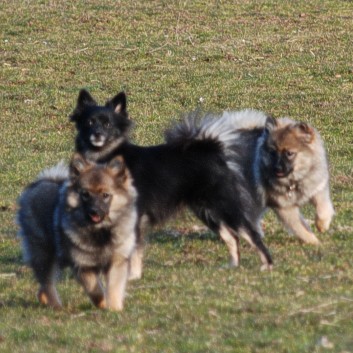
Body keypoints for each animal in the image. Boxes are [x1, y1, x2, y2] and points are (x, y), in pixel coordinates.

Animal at [17, 153, 137, 310]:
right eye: (85, 194)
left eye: (105, 195)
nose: (94, 211)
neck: (100, 231)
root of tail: (40, 183)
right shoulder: (83, 264)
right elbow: (95, 289)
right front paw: (103, 304)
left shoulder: (117, 260)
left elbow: (114, 288)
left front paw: (114, 308)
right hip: (44, 253)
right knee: (47, 283)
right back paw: (56, 305)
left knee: (43, 287)